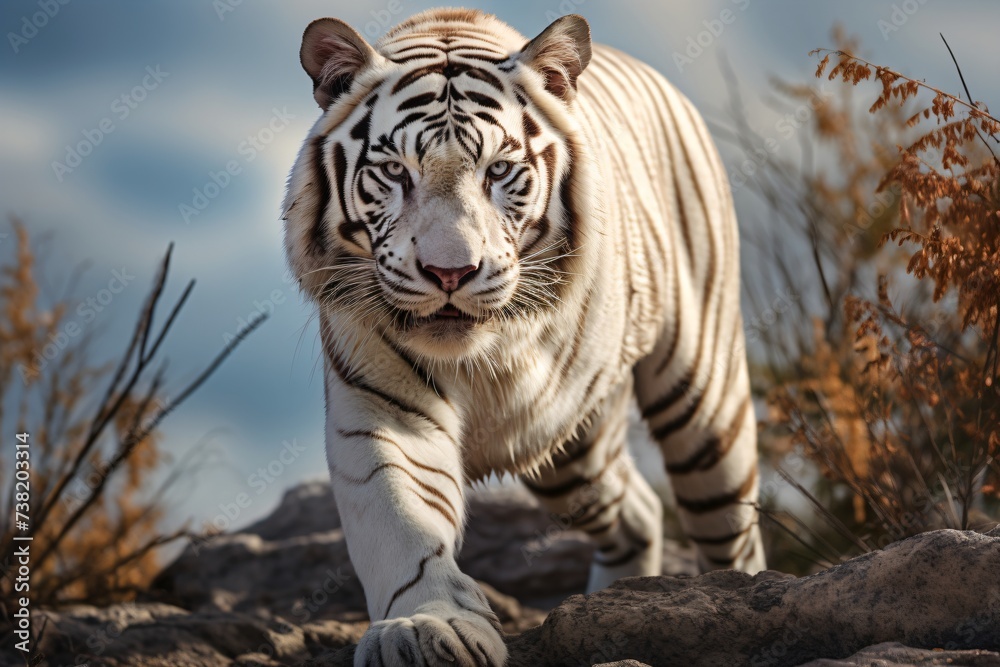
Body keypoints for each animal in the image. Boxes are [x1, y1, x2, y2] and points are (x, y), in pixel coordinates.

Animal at [283, 8, 764, 666]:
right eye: (395, 172)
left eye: (499, 171)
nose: (450, 273)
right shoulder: (380, 405)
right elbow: (400, 516)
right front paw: (426, 627)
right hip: (567, 451)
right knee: (638, 509)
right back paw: (619, 598)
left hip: (703, 403)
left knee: (732, 528)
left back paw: (744, 593)